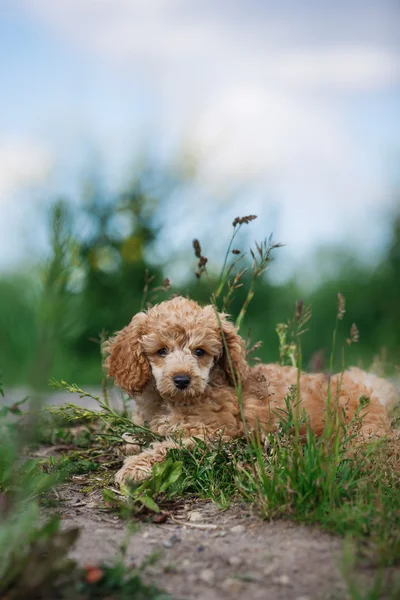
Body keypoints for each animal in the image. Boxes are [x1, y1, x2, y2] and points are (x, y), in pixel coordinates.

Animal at [104, 298, 396, 486]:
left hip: (362, 436)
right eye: (161, 351)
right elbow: (134, 436)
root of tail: (370, 391)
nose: (182, 380)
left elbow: (166, 447)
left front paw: (134, 469)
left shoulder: (211, 435)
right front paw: (129, 445)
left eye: (200, 352)